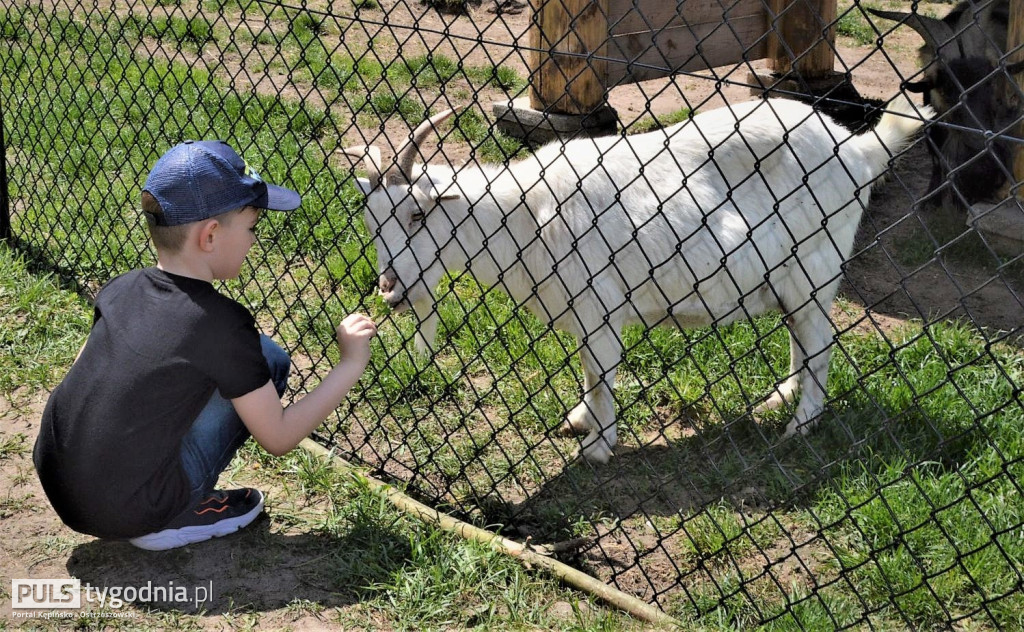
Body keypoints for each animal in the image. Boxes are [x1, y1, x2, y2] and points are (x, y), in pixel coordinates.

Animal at [342, 97, 929, 462]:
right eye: (371, 222)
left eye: (418, 214)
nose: (389, 289)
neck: (526, 215)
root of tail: (858, 149)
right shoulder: (583, 314)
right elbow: (588, 373)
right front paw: (579, 420)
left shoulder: (599, 306)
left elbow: (601, 374)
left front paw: (598, 446)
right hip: (793, 280)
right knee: (800, 340)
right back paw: (778, 400)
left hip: (816, 265)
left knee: (821, 343)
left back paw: (799, 425)